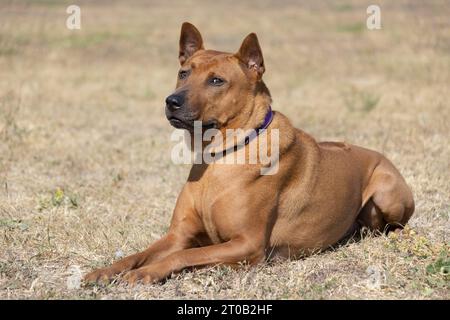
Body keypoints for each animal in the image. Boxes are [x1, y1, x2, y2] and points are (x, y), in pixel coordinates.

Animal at [84, 22, 414, 284]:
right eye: (183, 73)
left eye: (216, 80)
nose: (171, 101)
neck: (217, 158)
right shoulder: (179, 235)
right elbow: (138, 254)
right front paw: (105, 271)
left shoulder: (247, 244)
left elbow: (181, 257)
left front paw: (144, 274)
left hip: (387, 192)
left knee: (395, 226)